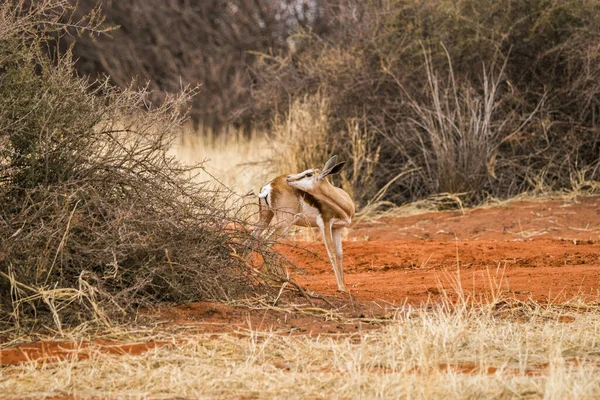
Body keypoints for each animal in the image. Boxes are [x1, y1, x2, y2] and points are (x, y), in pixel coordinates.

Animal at [253, 155, 356, 290]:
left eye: (308, 174)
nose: (288, 178)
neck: (344, 205)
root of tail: (269, 186)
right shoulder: (325, 223)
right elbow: (331, 252)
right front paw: (341, 288)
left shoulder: (337, 228)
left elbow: (339, 254)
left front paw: (344, 286)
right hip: (284, 223)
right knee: (265, 243)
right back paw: (274, 280)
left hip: (265, 217)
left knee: (251, 238)